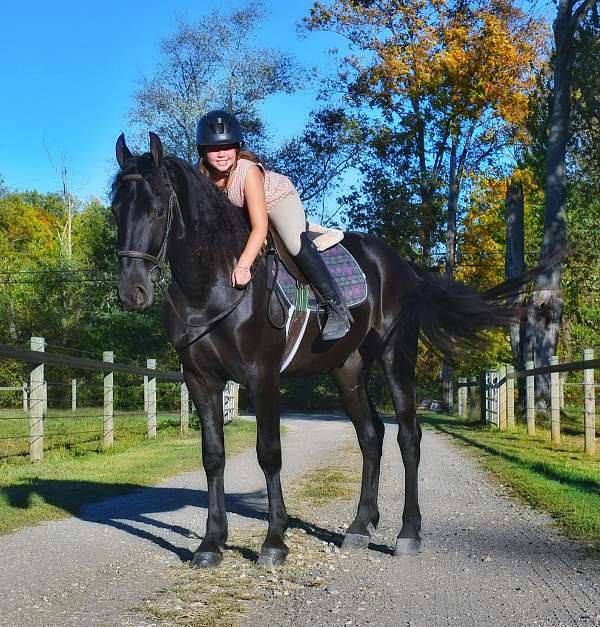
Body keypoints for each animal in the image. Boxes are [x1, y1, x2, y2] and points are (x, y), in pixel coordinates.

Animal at [111, 132, 520, 568]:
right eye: (116, 210)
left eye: (157, 211)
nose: (132, 292)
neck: (216, 282)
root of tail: (402, 265)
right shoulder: (201, 380)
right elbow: (213, 456)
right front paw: (211, 544)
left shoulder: (263, 377)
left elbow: (269, 452)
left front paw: (274, 540)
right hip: (347, 370)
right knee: (370, 436)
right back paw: (360, 527)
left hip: (396, 358)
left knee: (408, 437)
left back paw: (408, 534)